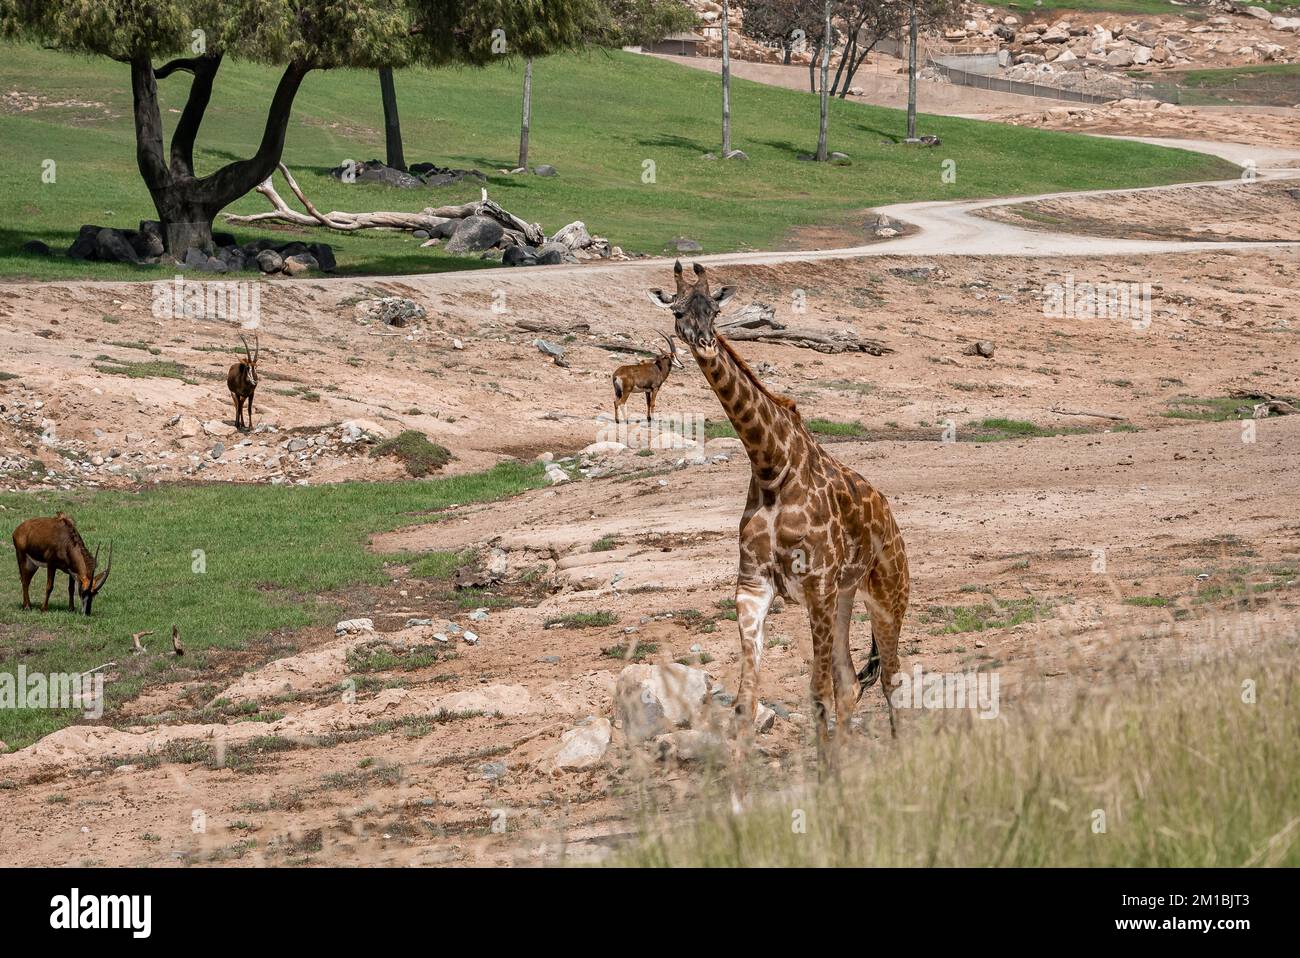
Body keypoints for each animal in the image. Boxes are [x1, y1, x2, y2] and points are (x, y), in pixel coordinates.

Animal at [644, 261, 909, 764]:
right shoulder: (753, 586)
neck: (771, 468)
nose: (704, 342)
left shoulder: (817, 584)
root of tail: (891, 518)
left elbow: (817, 692)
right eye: (678, 310)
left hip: (888, 596)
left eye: (715, 310)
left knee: (891, 678)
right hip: (845, 598)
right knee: (851, 683)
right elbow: (746, 701)